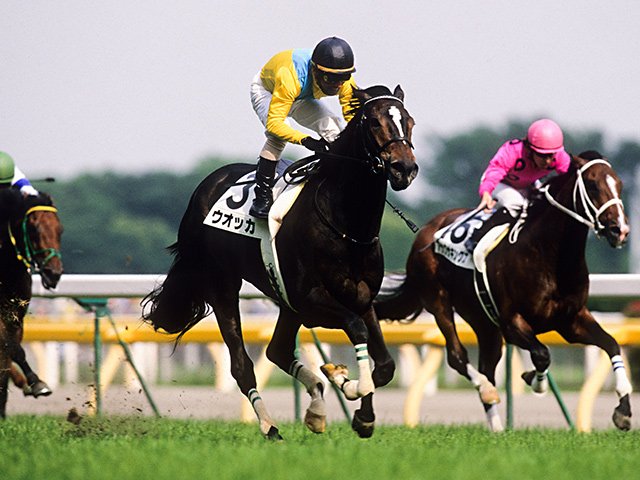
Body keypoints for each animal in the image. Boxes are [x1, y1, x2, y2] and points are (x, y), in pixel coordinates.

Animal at [0, 188, 63, 417]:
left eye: (60, 229)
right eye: (34, 229)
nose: (53, 273)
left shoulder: (16, 315)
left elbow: (10, 351)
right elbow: (12, 348)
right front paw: (35, 382)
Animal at [142, 84, 418, 439]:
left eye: (408, 121)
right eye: (373, 122)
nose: (404, 168)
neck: (347, 226)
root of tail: (207, 185)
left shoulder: (362, 297)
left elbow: (384, 366)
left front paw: (361, 413)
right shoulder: (310, 299)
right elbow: (357, 330)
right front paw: (348, 384)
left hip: (284, 301)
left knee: (277, 349)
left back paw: (316, 409)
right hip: (223, 285)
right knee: (242, 365)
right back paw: (270, 426)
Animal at [374, 151, 632, 432]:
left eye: (619, 184)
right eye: (593, 185)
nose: (620, 230)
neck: (550, 255)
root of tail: (424, 232)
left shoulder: (571, 321)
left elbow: (612, 344)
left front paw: (623, 410)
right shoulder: (512, 323)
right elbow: (542, 354)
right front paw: (535, 380)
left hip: (484, 322)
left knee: (487, 364)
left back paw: (497, 427)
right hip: (438, 301)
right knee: (458, 356)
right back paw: (486, 391)